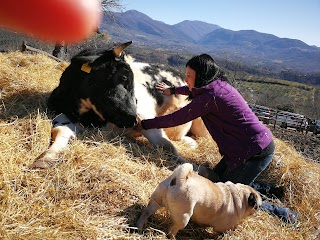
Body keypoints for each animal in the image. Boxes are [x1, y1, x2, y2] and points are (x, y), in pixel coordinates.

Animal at [31, 41, 208, 169]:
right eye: (123, 77)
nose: (133, 118)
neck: (91, 118)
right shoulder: (62, 113)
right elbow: (61, 131)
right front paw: (47, 157)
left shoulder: (146, 117)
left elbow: (166, 145)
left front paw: (196, 168)